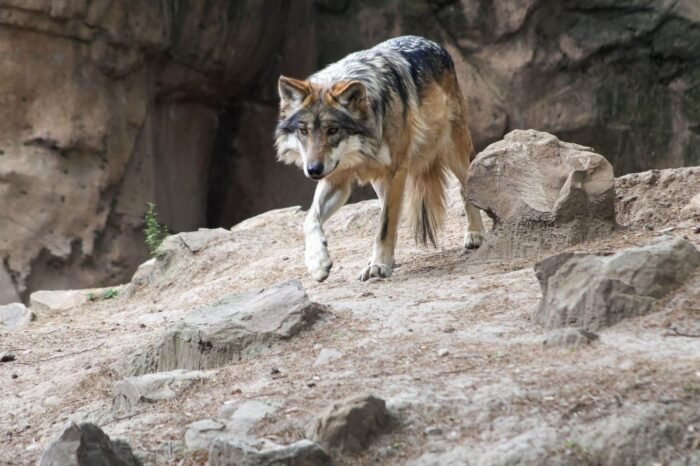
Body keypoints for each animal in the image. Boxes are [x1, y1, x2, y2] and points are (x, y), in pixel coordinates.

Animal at [275, 35, 485, 282]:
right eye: (304, 131)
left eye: (333, 130)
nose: (313, 169)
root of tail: (432, 42)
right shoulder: (337, 179)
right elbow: (310, 219)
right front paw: (318, 263)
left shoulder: (396, 171)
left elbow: (385, 225)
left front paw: (378, 265)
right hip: (379, 181)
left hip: (452, 151)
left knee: (464, 187)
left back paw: (475, 233)